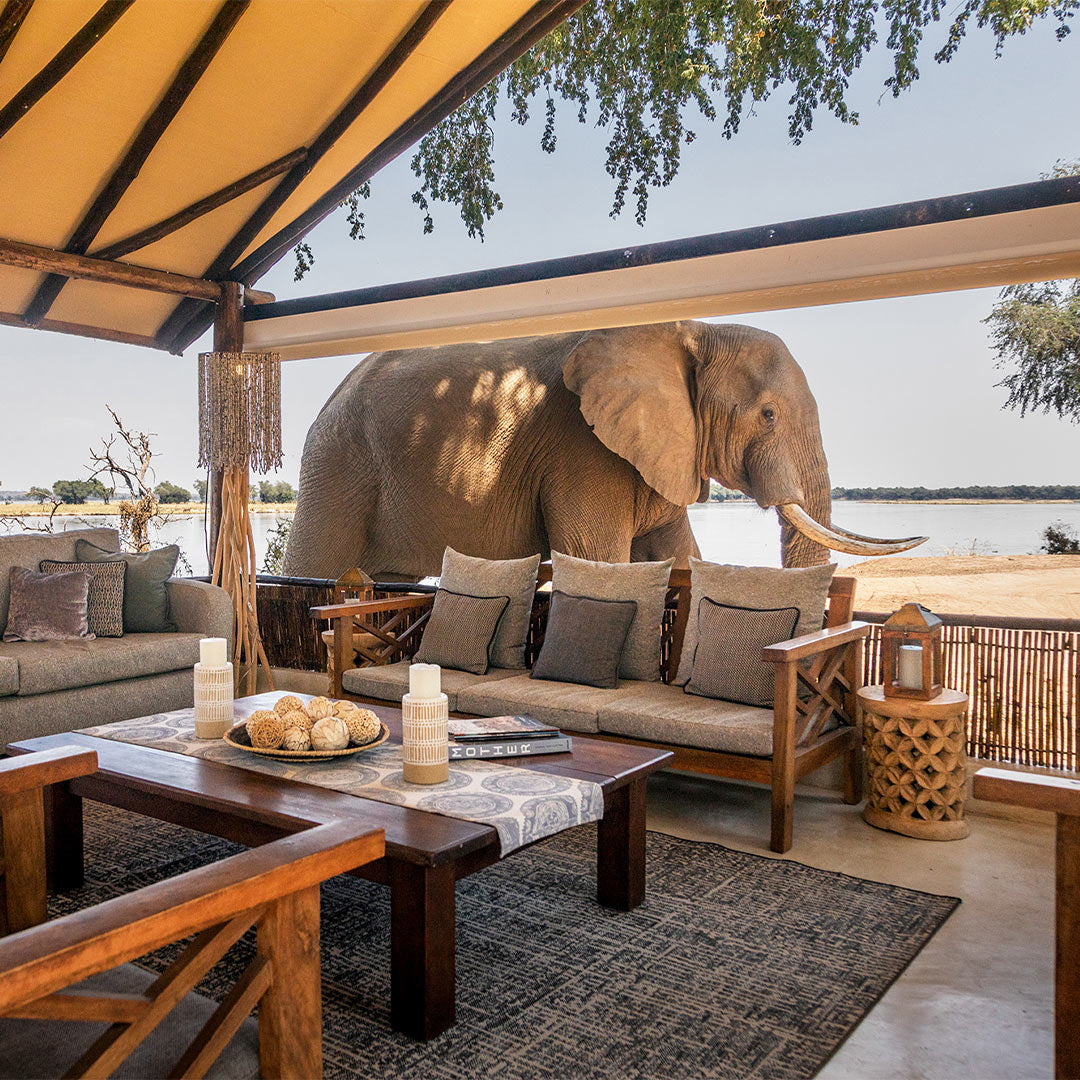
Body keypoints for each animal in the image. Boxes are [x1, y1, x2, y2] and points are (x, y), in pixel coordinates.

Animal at [284, 320, 923, 579]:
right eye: (767, 416)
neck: (687, 329)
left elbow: (679, 555)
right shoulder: (581, 450)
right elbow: (596, 559)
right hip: (337, 467)